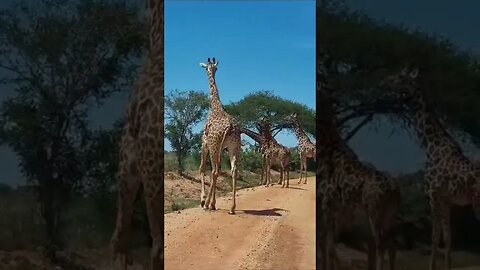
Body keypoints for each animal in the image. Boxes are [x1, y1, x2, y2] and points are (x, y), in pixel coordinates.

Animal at [197, 58, 240, 214]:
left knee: (215, 170)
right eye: (212, 67)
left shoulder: (205, 143)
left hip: (214, 146)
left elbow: (202, 168)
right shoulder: (222, 148)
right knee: (233, 170)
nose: (209, 70)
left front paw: (204, 200)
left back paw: (208, 203)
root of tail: (230, 127)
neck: (215, 106)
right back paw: (232, 208)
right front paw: (212, 202)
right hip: (234, 147)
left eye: (205, 67)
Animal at [316, 88, 400, 270]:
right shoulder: (335, 209)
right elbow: (328, 243)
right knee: (392, 245)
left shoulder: (328, 205)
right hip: (390, 215)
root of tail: (395, 188)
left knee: (380, 244)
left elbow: (328, 244)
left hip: (374, 212)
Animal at [378, 67, 480, 270]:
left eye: (400, 78)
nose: (383, 82)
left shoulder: (434, 195)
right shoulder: (447, 200)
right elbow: (447, 237)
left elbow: (435, 237)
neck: (431, 146)